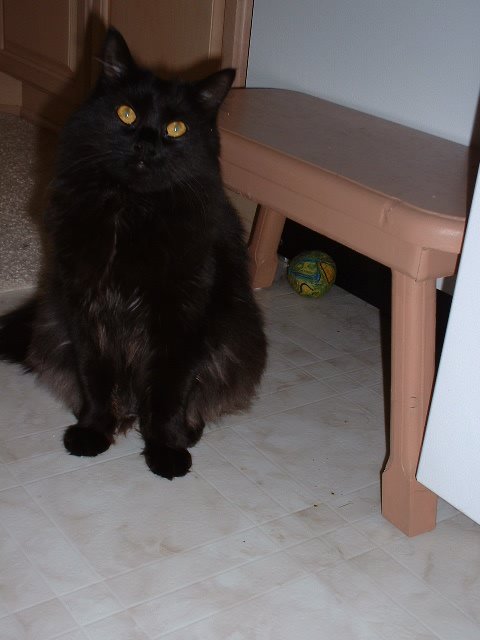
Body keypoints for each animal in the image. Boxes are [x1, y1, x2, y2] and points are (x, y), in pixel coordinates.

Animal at [0, 28, 267, 480]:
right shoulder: (85, 309)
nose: (145, 144)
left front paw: (166, 450)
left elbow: (169, 392)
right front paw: (93, 431)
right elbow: (95, 379)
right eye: (126, 114)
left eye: (176, 128)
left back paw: (185, 431)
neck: (131, 212)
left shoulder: (181, 318)